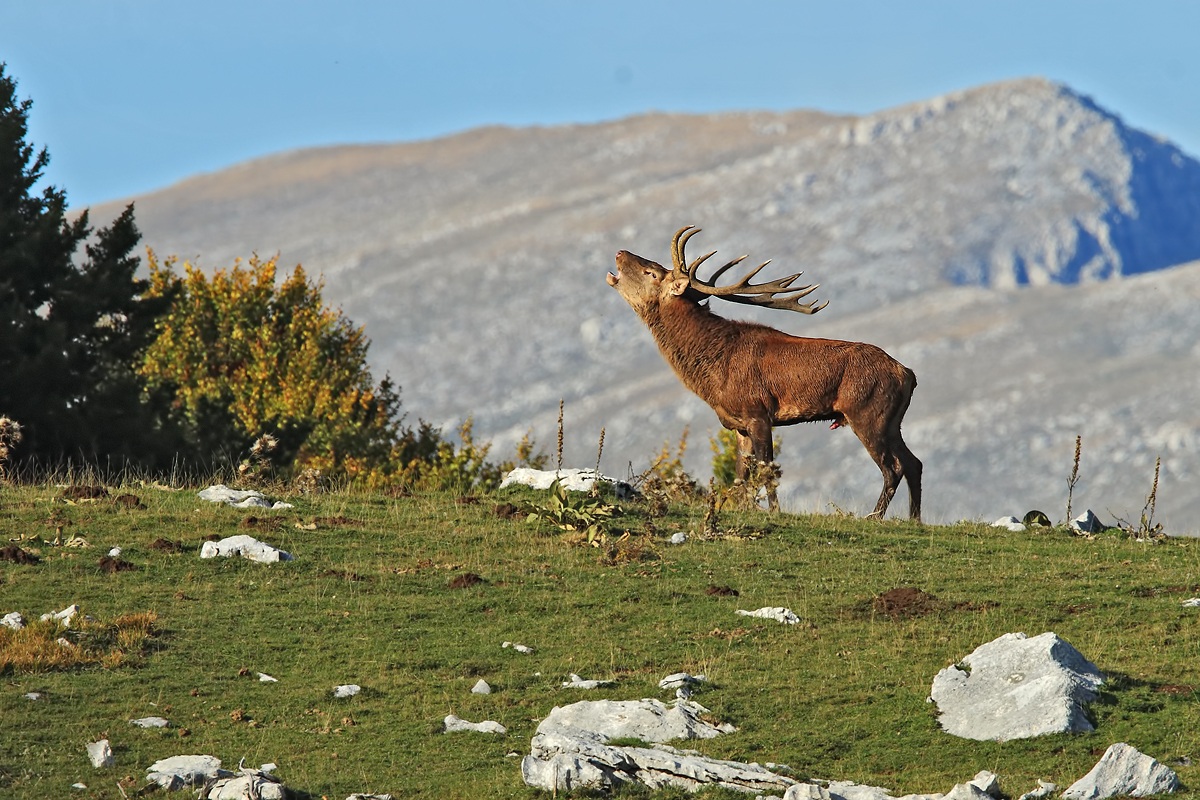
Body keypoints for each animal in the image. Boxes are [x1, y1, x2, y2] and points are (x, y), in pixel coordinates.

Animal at [606, 225, 921, 520]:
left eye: (652, 272)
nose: (620, 252)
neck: (713, 373)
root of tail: (908, 373)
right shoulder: (739, 426)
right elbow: (741, 476)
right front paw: (740, 507)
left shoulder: (758, 412)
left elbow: (767, 469)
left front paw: (773, 511)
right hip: (892, 421)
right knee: (913, 463)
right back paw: (914, 518)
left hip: (867, 412)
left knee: (893, 467)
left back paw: (876, 516)